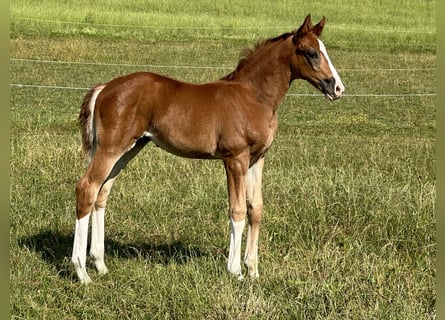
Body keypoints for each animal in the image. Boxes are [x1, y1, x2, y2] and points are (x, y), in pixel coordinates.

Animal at [72, 14, 344, 282]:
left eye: (324, 50)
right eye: (311, 52)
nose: (337, 88)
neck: (253, 97)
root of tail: (104, 88)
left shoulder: (257, 159)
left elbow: (255, 209)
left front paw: (253, 271)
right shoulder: (235, 158)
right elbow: (237, 211)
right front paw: (235, 271)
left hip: (129, 149)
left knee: (102, 193)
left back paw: (100, 265)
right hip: (111, 148)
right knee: (87, 188)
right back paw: (82, 272)